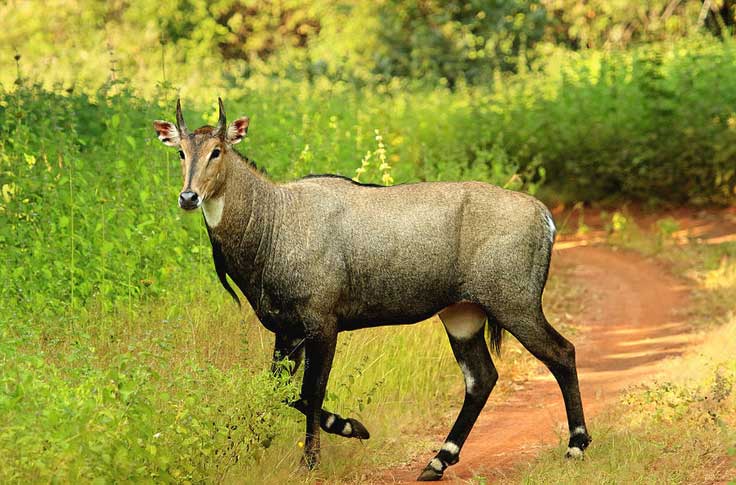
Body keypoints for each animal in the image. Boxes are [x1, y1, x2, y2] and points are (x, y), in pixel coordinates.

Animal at [152, 99, 588, 480]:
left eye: (217, 151)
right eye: (181, 153)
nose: (188, 196)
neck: (273, 222)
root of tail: (544, 216)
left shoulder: (322, 324)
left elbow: (310, 391)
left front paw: (316, 456)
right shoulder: (285, 330)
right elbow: (278, 391)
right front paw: (253, 448)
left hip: (514, 304)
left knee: (562, 353)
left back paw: (576, 445)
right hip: (462, 314)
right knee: (480, 378)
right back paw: (437, 462)